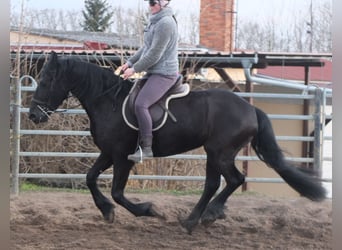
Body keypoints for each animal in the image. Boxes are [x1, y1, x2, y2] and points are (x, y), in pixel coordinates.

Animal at [28, 52, 324, 234]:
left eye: (46, 80)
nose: (33, 115)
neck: (107, 101)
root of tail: (250, 109)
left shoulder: (123, 156)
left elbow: (117, 192)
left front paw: (149, 210)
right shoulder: (109, 152)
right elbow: (90, 178)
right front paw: (106, 211)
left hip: (220, 152)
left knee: (231, 180)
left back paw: (203, 216)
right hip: (215, 153)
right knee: (218, 183)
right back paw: (198, 218)